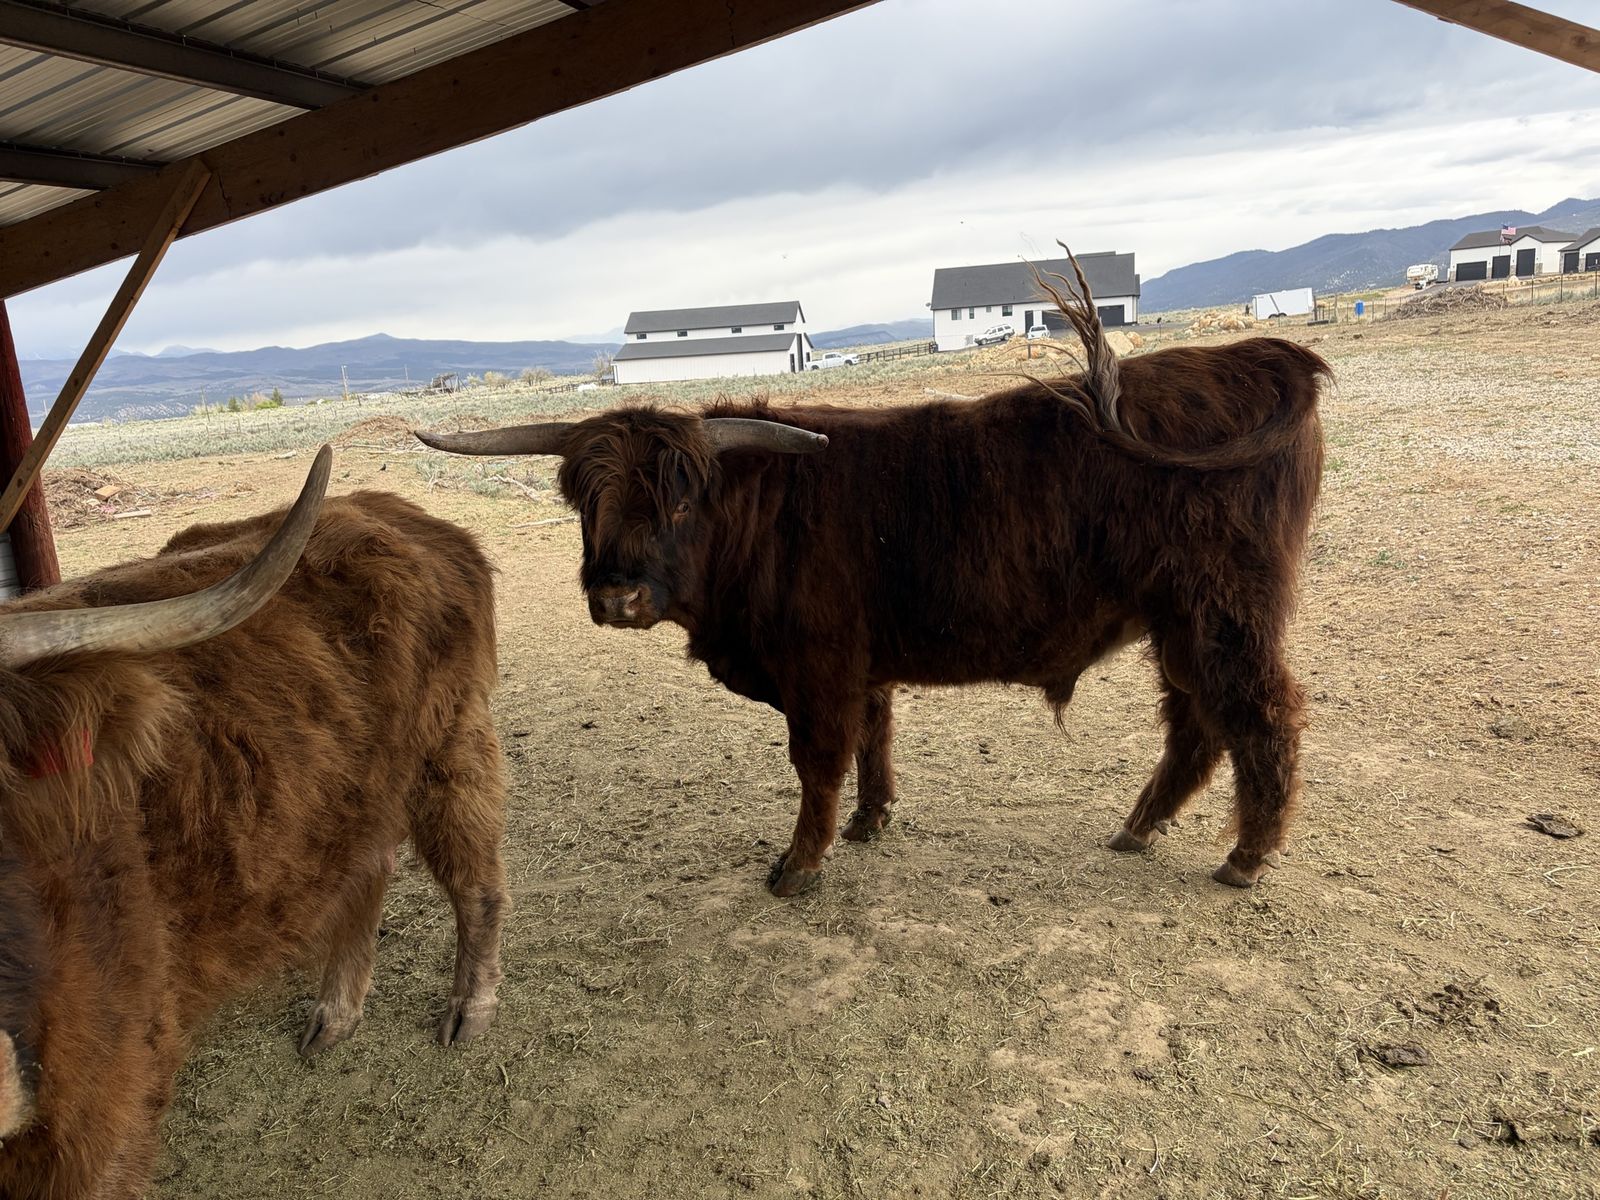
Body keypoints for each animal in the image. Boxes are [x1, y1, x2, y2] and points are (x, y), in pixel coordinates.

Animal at [0, 448, 510, 1199]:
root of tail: (400, 510)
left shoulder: (108, 1104)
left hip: (451, 742)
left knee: (475, 878)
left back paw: (470, 1009)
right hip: (353, 787)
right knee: (369, 867)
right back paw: (336, 1015)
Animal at [418, 257, 1329, 899]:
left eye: (678, 501)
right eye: (584, 501)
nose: (617, 595)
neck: (760, 518)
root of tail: (1260, 356)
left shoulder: (818, 664)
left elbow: (819, 757)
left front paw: (799, 863)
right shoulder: (863, 665)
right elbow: (872, 739)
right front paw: (870, 820)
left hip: (1223, 613)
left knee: (1260, 715)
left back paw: (1245, 856)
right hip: (1180, 621)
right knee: (1198, 723)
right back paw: (1139, 828)